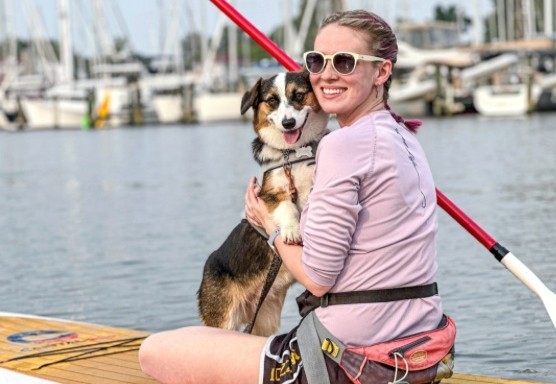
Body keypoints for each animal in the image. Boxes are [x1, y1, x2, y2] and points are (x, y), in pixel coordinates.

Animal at [198, 70, 330, 334]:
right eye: (272, 101)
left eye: (298, 96)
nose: (288, 123)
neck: (294, 154)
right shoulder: (271, 193)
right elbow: (288, 207)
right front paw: (291, 230)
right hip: (223, 320)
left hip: (264, 319)